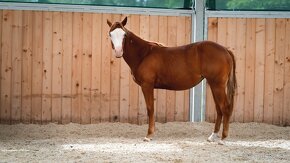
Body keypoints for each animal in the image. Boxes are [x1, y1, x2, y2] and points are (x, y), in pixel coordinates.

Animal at [106, 17, 236, 143]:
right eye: (110, 34)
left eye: (124, 35)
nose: (118, 52)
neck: (144, 54)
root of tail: (225, 50)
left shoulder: (147, 85)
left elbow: (150, 108)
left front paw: (149, 135)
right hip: (214, 85)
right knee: (219, 109)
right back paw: (212, 136)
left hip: (217, 85)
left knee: (225, 108)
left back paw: (223, 138)